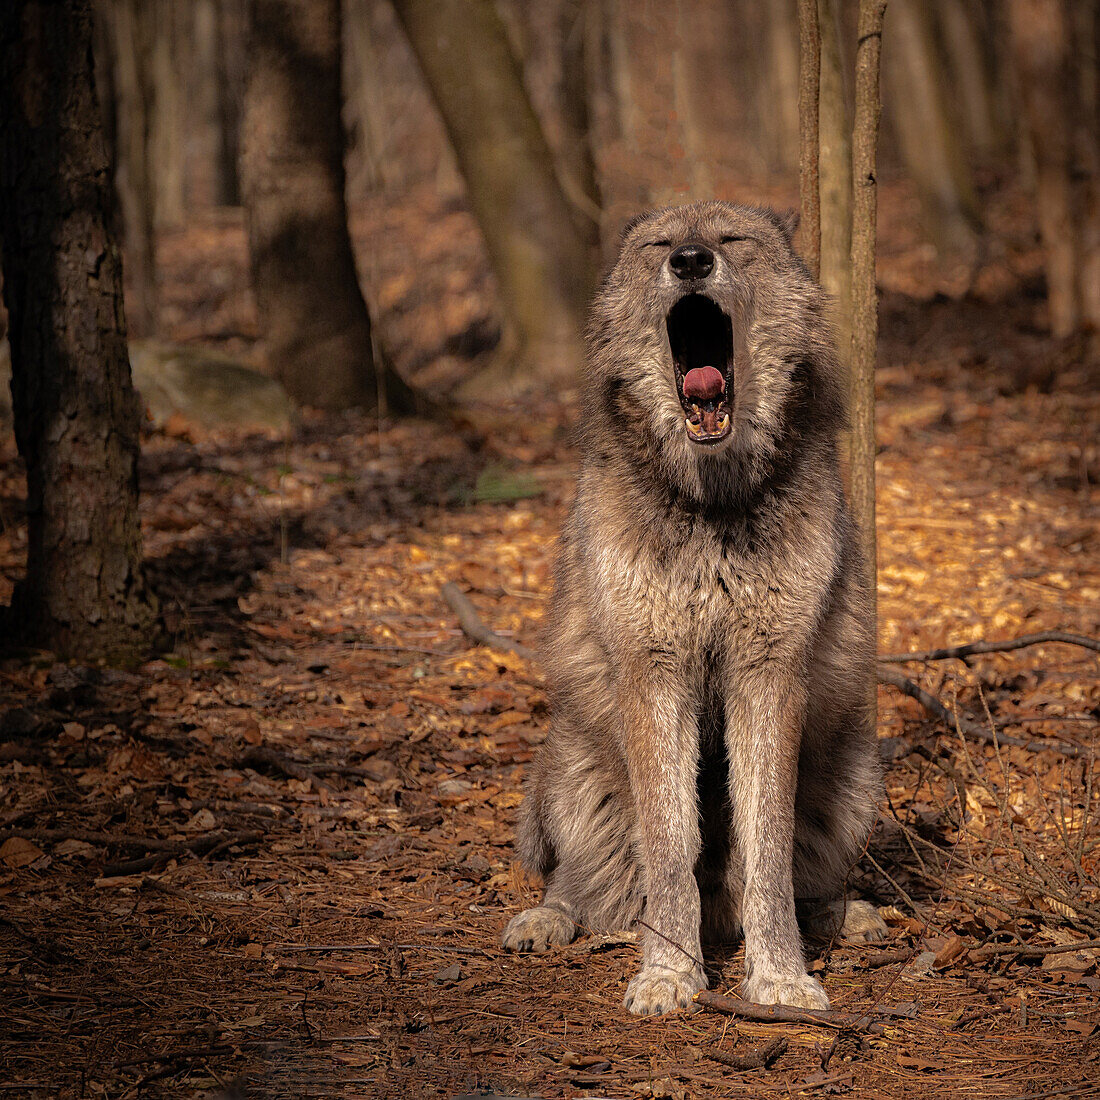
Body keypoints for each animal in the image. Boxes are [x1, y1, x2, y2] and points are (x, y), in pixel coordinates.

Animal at [503, 200, 888, 1012]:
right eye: (658, 244)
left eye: (732, 240)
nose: (688, 260)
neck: (710, 505)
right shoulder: (655, 671)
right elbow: (669, 845)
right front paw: (670, 973)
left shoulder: (768, 673)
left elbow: (767, 851)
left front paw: (781, 979)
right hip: (569, 775)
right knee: (582, 889)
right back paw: (545, 920)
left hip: (854, 780)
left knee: (803, 883)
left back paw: (850, 914)